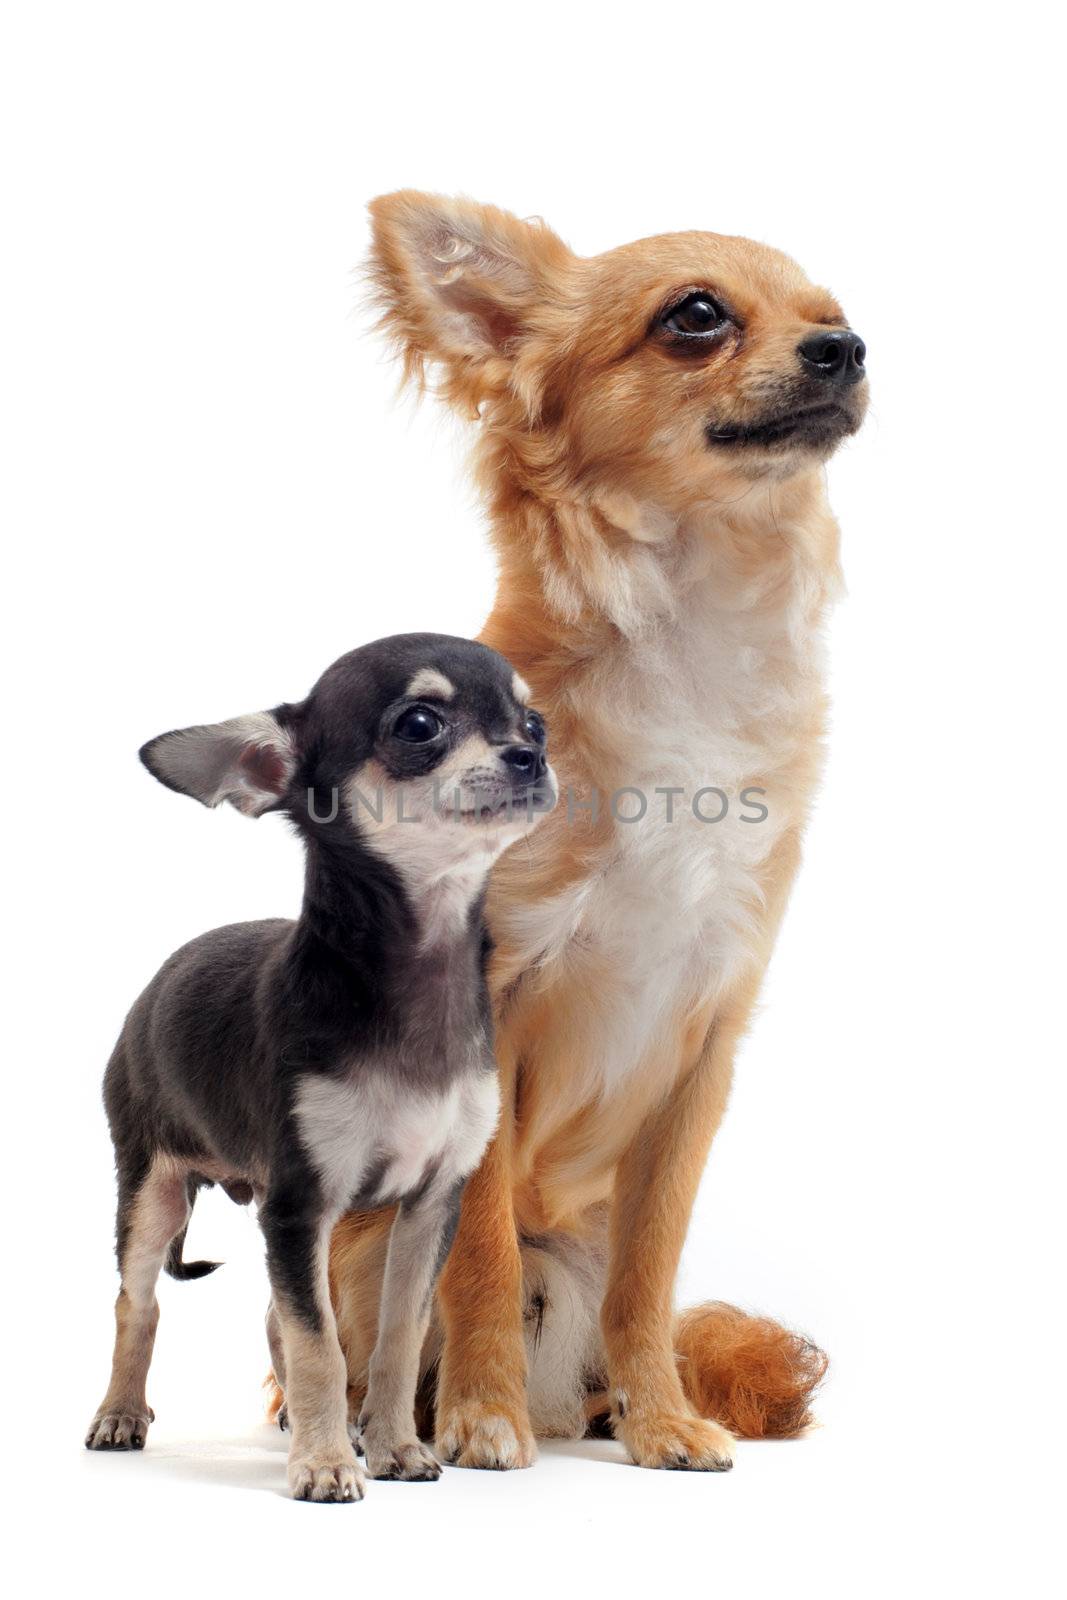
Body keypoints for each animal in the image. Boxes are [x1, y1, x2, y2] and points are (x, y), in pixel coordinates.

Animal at [83, 627, 559, 1497]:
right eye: (418, 724)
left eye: (533, 720)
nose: (530, 754)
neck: (421, 972)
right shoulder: (300, 1204)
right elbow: (320, 1346)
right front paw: (328, 1463)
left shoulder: (428, 1204)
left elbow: (394, 1335)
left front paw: (396, 1445)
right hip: (150, 1188)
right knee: (139, 1304)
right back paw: (122, 1412)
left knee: (275, 1312)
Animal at [315, 193, 857, 1465]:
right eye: (695, 316)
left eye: (831, 314)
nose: (846, 350)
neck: (691, 632)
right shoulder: (492, 1026)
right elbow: (474, 1256)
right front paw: (481, 1413)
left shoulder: (704, 1048)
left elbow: (647, 1276)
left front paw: (661, 1419)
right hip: (360, 1248)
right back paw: (396, 1416)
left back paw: (605, 1404)